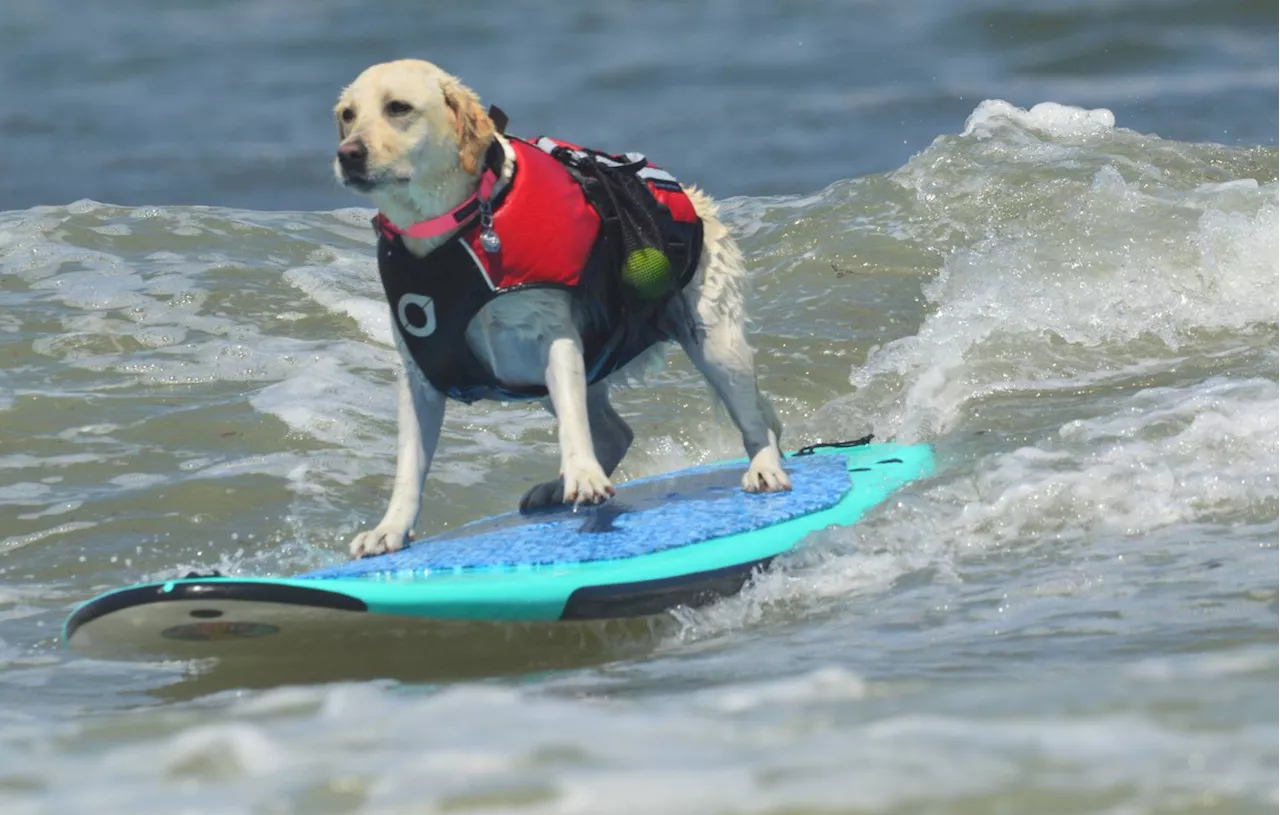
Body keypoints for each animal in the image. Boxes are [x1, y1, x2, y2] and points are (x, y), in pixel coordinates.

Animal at [330, 55, 788, 552]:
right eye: (347, 115)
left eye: (398, 107)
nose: (348, 154)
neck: (454, 229)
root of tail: (692, 196)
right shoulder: (420, 374)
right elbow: (409, 465)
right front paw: (390, 528)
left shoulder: (551, 337)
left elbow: (572, 420)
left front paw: (583, 475)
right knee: (616, 431)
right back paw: (555, 485)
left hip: (715, 340)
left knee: (754, 418)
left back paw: (765, 467)